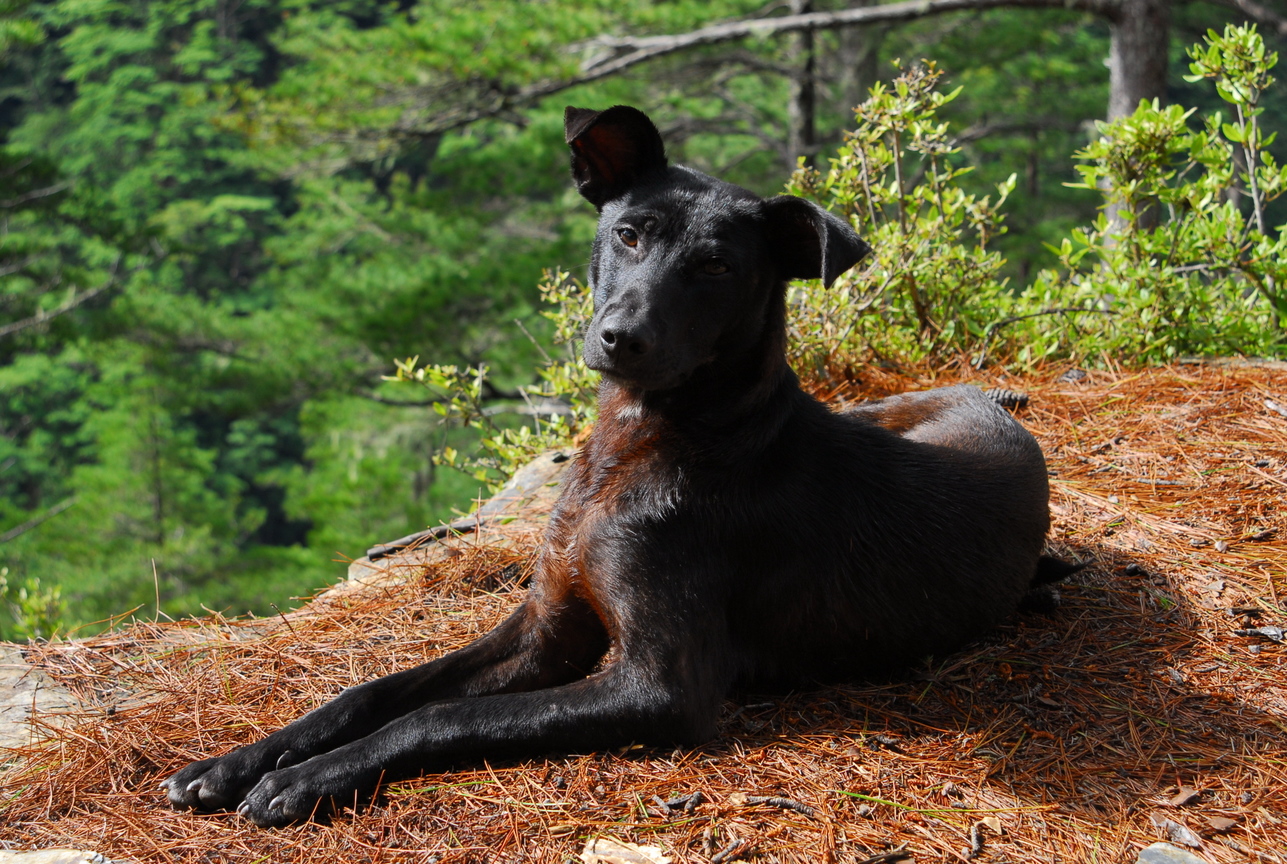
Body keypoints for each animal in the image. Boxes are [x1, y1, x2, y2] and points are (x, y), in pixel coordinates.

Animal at [163, 104, 1065, 829]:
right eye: (627, 233)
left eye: (716, 266)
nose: (619, 339)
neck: (638, 446)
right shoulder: (545, 630)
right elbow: (377, 691)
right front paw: (241, 760)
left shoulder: (657, 688)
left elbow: (432, 720)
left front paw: (309, 779)